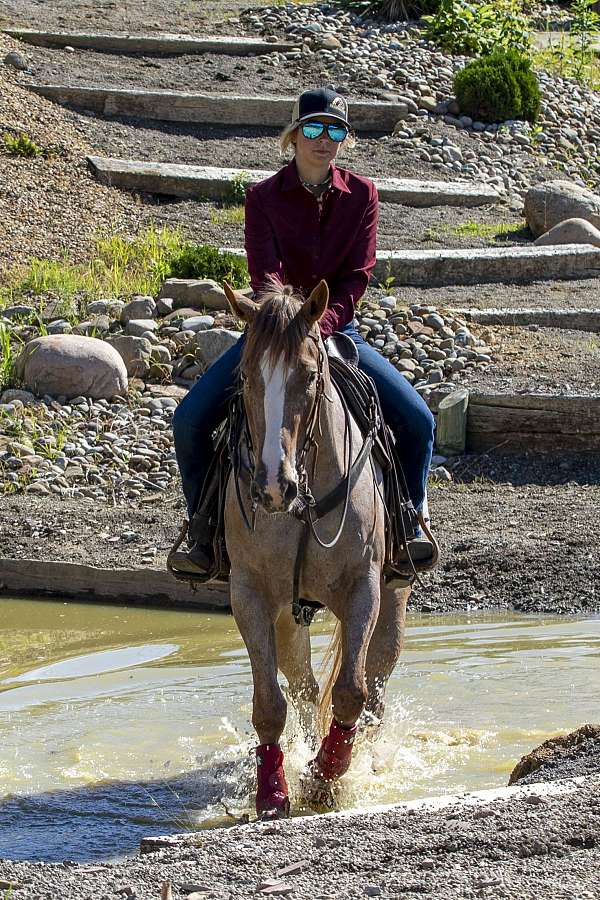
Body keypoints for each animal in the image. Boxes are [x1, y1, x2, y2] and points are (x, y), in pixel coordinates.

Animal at [223, 276, 410, 816]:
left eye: (307, 376)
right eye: (246, 376)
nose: (272, 486)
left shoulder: (364, 588)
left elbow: (351, 691)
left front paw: (326, 776)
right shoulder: (250, 595)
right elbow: (269, 703)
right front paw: (273, 792)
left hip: (393, 597)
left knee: (376, 684)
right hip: (290, 614)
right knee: (303, 686)